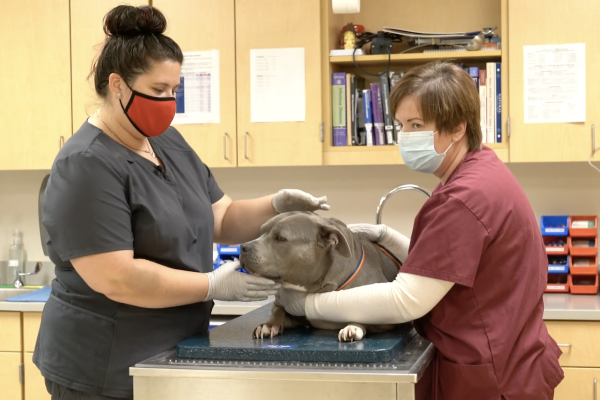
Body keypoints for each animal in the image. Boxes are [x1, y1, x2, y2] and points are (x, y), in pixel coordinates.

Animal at [240, 211, 404, 342]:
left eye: (280, 238)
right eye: (261, 231)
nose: (243, 247)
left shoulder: (386, 319)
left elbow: (364, 315)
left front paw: (353, 327)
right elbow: (278, 310)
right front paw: (268, 325)